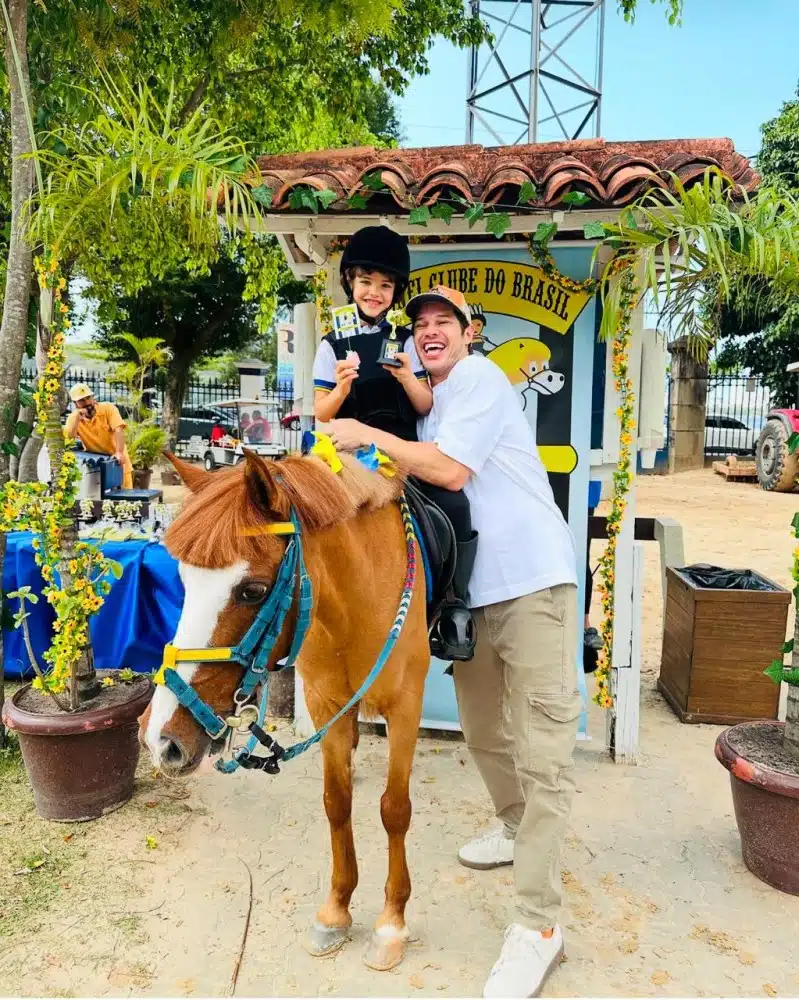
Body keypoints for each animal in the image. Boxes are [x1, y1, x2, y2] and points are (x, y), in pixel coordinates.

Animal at [141, 452, 434, 968]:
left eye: (253, 591)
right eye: (183, 581)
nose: (162, 741)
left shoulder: (406, 708)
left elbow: (394, 809)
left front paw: (391, 922)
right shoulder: (323, 704)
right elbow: (337, 802)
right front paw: (336, 910)